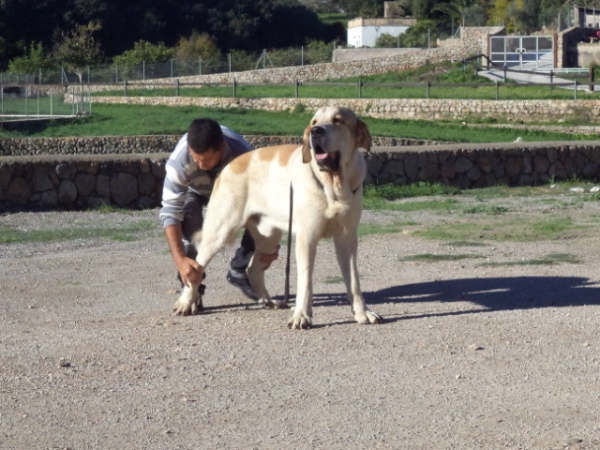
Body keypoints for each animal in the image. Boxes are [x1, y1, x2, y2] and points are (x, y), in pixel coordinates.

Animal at [171, 107, 382, 328]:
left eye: (338, 120)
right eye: (314, 121)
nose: (315, 131)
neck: (333, 185)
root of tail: (228, 166)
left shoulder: (347, 238)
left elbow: (354, 281)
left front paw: (362, 312)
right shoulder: (307, 238)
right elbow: (305, 281)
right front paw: (301, 315)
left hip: (269, 239)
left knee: (253, 269)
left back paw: (268, 301)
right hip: (220, 231)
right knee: (196, 266)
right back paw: (186, 302)